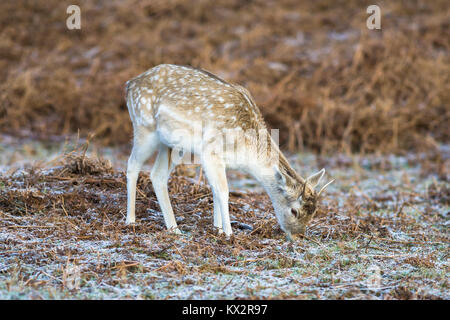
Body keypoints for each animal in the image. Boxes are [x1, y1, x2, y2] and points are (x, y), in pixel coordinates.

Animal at [125, 63, 332, 240]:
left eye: (314, 212)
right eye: (294, 210)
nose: (298, 236)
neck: (245, 153)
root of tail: (130, 84)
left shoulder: (222, 162)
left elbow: (216, 190)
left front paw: (217, 229)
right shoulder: (211, 152)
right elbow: (223, 191)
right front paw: (229, 234)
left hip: (172, 145)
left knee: (157, 175)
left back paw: (174, 229)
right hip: (144, 127)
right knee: (132, 165)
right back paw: (131, 222)